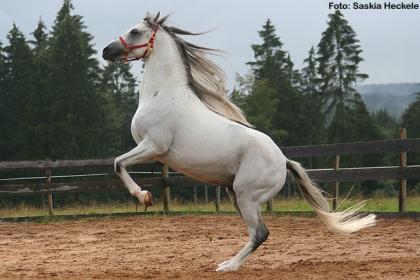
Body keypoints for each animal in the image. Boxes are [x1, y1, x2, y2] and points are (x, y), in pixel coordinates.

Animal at [102, 13, 378, 272]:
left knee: (260, 233)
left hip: (248, 197)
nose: (107, 50)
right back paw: (228, 262)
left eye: (135, 31)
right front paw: (145, 196)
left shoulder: (154, 147)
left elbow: (118, 164)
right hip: (235, 195)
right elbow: (119, 164)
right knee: (256, 233)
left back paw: (228, 266)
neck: (163, 95)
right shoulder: (153, 151)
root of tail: (283, 160)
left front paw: (144, 196)